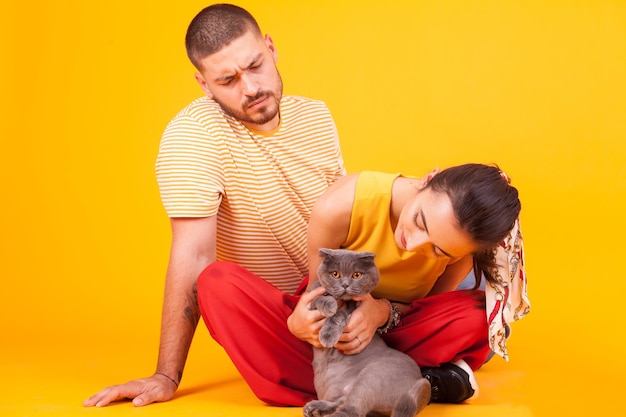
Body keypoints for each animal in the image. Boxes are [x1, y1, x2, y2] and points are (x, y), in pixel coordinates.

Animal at [302, 249, 428, 414]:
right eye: (335, 274)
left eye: (356, 275)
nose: (345, 285)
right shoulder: (310, 305)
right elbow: (318, 299)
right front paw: (329, 305)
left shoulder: (351, 310)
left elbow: (338, 315)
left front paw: (328, 335)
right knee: (342, 402)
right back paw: (314, 408)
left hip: (372, 375)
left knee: (351, 409)